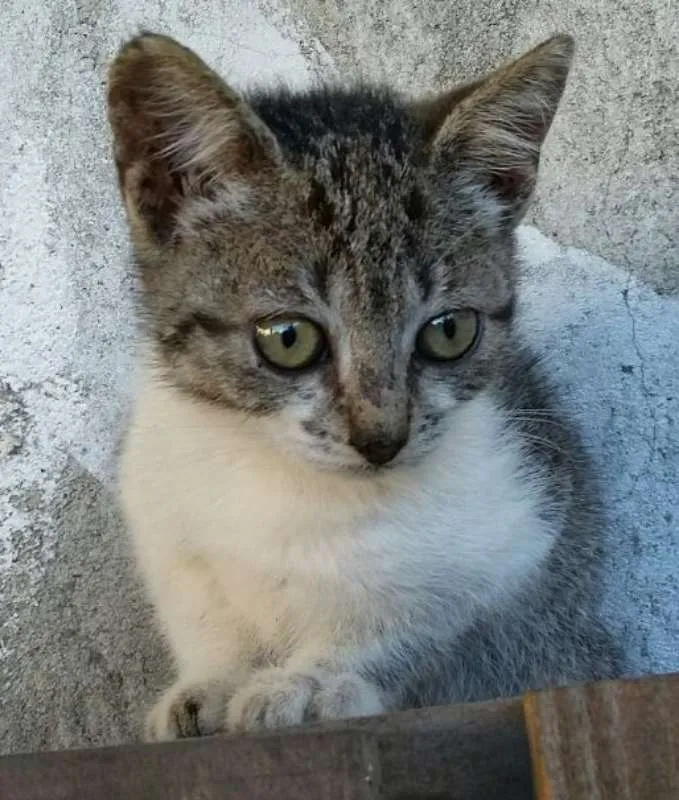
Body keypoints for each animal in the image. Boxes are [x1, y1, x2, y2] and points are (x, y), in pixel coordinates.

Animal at [106, 32, 620, 744]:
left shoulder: (515, 536)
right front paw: (211, 684)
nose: (382, 438)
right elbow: (208, 619)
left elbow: (408, 623)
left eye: (450, 331)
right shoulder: (164, 515)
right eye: (288, 338)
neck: (281, 480)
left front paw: (310, 682)